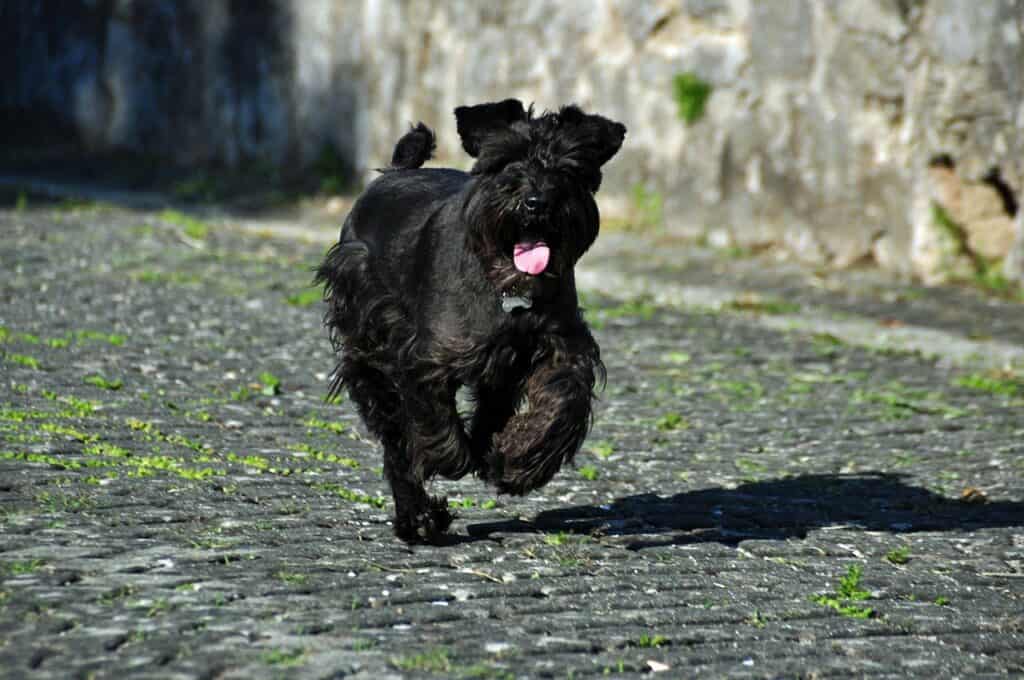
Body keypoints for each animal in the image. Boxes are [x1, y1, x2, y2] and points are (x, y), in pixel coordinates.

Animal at [317, 99, 622, 540]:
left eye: (570, 165)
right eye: (506, 160)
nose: (537, 201)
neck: (507, 290)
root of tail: (393, 172)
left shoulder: (561, 347)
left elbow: (563, 402)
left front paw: (520, 461)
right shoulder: (426, 355)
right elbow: (433, 420)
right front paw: (449, 458)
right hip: (367, 343)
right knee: (393, 435)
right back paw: (419, 517)